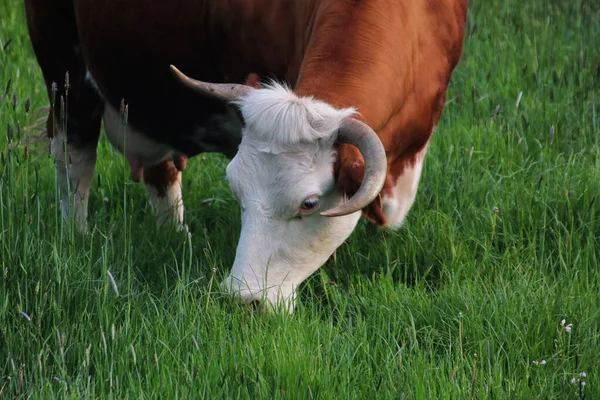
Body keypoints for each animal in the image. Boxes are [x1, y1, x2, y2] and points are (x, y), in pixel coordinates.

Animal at [25, 0, 468, 310]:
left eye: (309, 203)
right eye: (237, 192)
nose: (245, 300)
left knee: (161, 172)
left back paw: (176, 237)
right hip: (62, 67)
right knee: (75, 160)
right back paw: (76, 236)